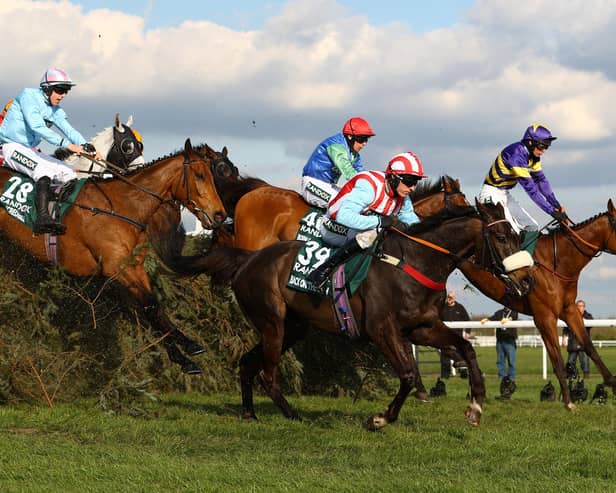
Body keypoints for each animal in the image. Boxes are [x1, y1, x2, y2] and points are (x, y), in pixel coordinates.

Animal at [0, 137, 226, 372]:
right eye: (199, 175)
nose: (220, 214)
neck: (123, 206)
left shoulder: (134, 268)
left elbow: (151, 306)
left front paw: (184, 351)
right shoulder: (117, 267)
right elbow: (151, 305)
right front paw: (185, 352)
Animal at [161, 202, 528, 428]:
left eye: (516, 234)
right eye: (500, 236)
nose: (526, 280)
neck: (414, 262)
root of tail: (247, 259)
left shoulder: (422, 326)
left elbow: (464, 348)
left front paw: (476, 406)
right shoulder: (382, 330)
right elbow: (408, 374)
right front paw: (380, 419)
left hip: (293, 327)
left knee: (248, 363)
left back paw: (250, 413)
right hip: (272, 323)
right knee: (267, 372)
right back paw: (292, 415)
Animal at [460, 199, 616, 408]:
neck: (558, 262)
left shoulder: (569, 309)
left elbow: (588, 345)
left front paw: (612, 383)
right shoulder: (544, 316)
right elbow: (557, 358)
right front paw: (568, 401)